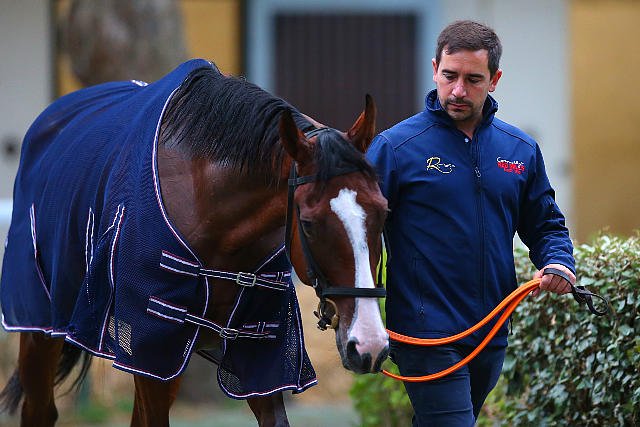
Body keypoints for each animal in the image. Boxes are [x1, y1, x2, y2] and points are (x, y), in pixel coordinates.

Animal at [0, 59, 389, 426]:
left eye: (384, 211)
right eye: (308, 224)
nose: (368, 343)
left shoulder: (258, 352)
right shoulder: (148, 348)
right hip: (40, 331)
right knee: (39, 409)